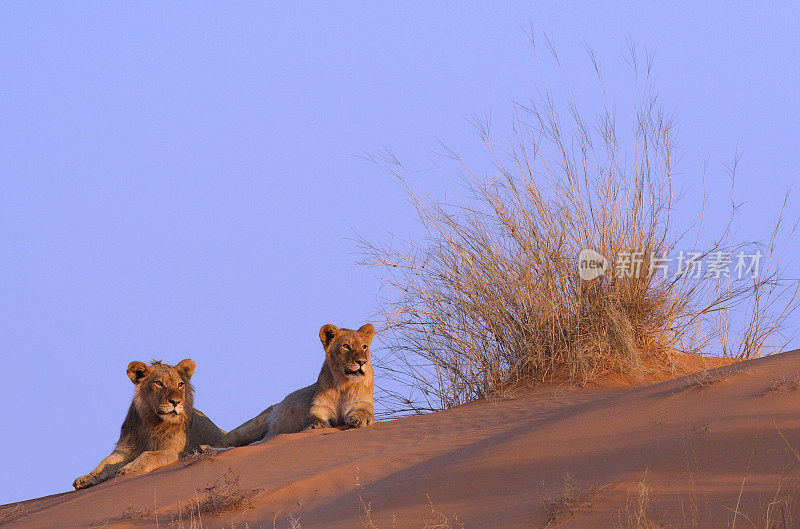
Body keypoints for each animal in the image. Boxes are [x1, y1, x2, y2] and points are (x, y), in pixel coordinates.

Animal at [72, 356, 225, 488]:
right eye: (159, 383)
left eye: (180, 384)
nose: (176, 402)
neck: (152, 423)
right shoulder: (124, 450)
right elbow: (104, 463)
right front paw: (86, 478)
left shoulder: (175, 450)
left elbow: (148, 455)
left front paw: (128, 469)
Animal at [219, 322, 376, 446]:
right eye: (345, 346)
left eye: (364, 346)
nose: (362, 362)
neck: (343, 384)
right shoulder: (318, 408)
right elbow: (313, 417)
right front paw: (316, 425)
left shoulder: (362, 404)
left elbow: (363, 412)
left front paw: (359, 420)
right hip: (252, 425)